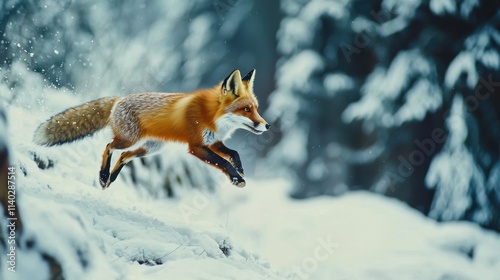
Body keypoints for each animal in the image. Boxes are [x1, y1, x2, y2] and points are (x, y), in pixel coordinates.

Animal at [33, 69, 270, 189]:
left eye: (256, 109)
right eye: (246, 109)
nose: (267, 125)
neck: (211, 115)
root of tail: (118, 100)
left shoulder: (213, 141)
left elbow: (234, 153)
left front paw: (239, 169)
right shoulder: (196, 146)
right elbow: (222, 162)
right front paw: (236, 179)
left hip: (151, 148)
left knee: (124, 156)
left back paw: (110, 179)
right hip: (128, 139)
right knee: (109, 146)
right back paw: (103, 176)